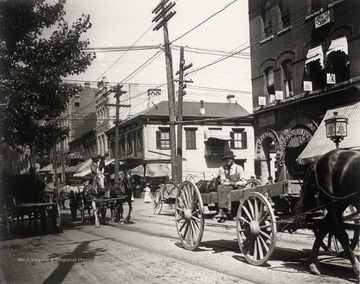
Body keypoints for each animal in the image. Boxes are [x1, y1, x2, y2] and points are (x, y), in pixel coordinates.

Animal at [298, 149, 360, 280]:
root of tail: (318, 161)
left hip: (340, 203)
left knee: (325, 227)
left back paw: (314, 263)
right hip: (332, 202)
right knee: (339, 232)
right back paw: (357, 267)